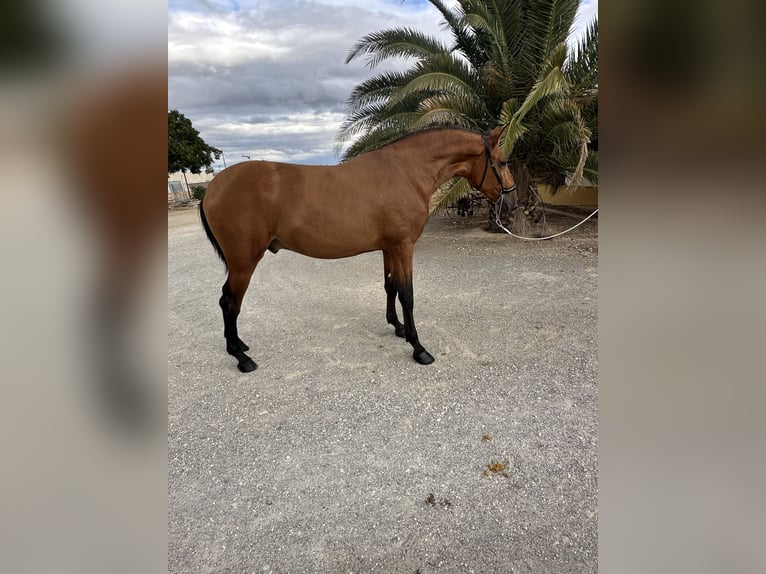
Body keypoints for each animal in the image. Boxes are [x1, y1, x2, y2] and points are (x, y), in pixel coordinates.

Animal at [201, 126, 520, 374]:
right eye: (503, 162)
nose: (513, 203)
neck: (406, 172)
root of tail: (212, 188)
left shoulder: (390, 248)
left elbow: (391, 287)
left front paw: (398, 327)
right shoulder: (404, 246)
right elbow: (407, 295)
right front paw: (418, 348)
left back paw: (240, 345)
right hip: (243, 262)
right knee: (229, 302)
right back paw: (241, 357)